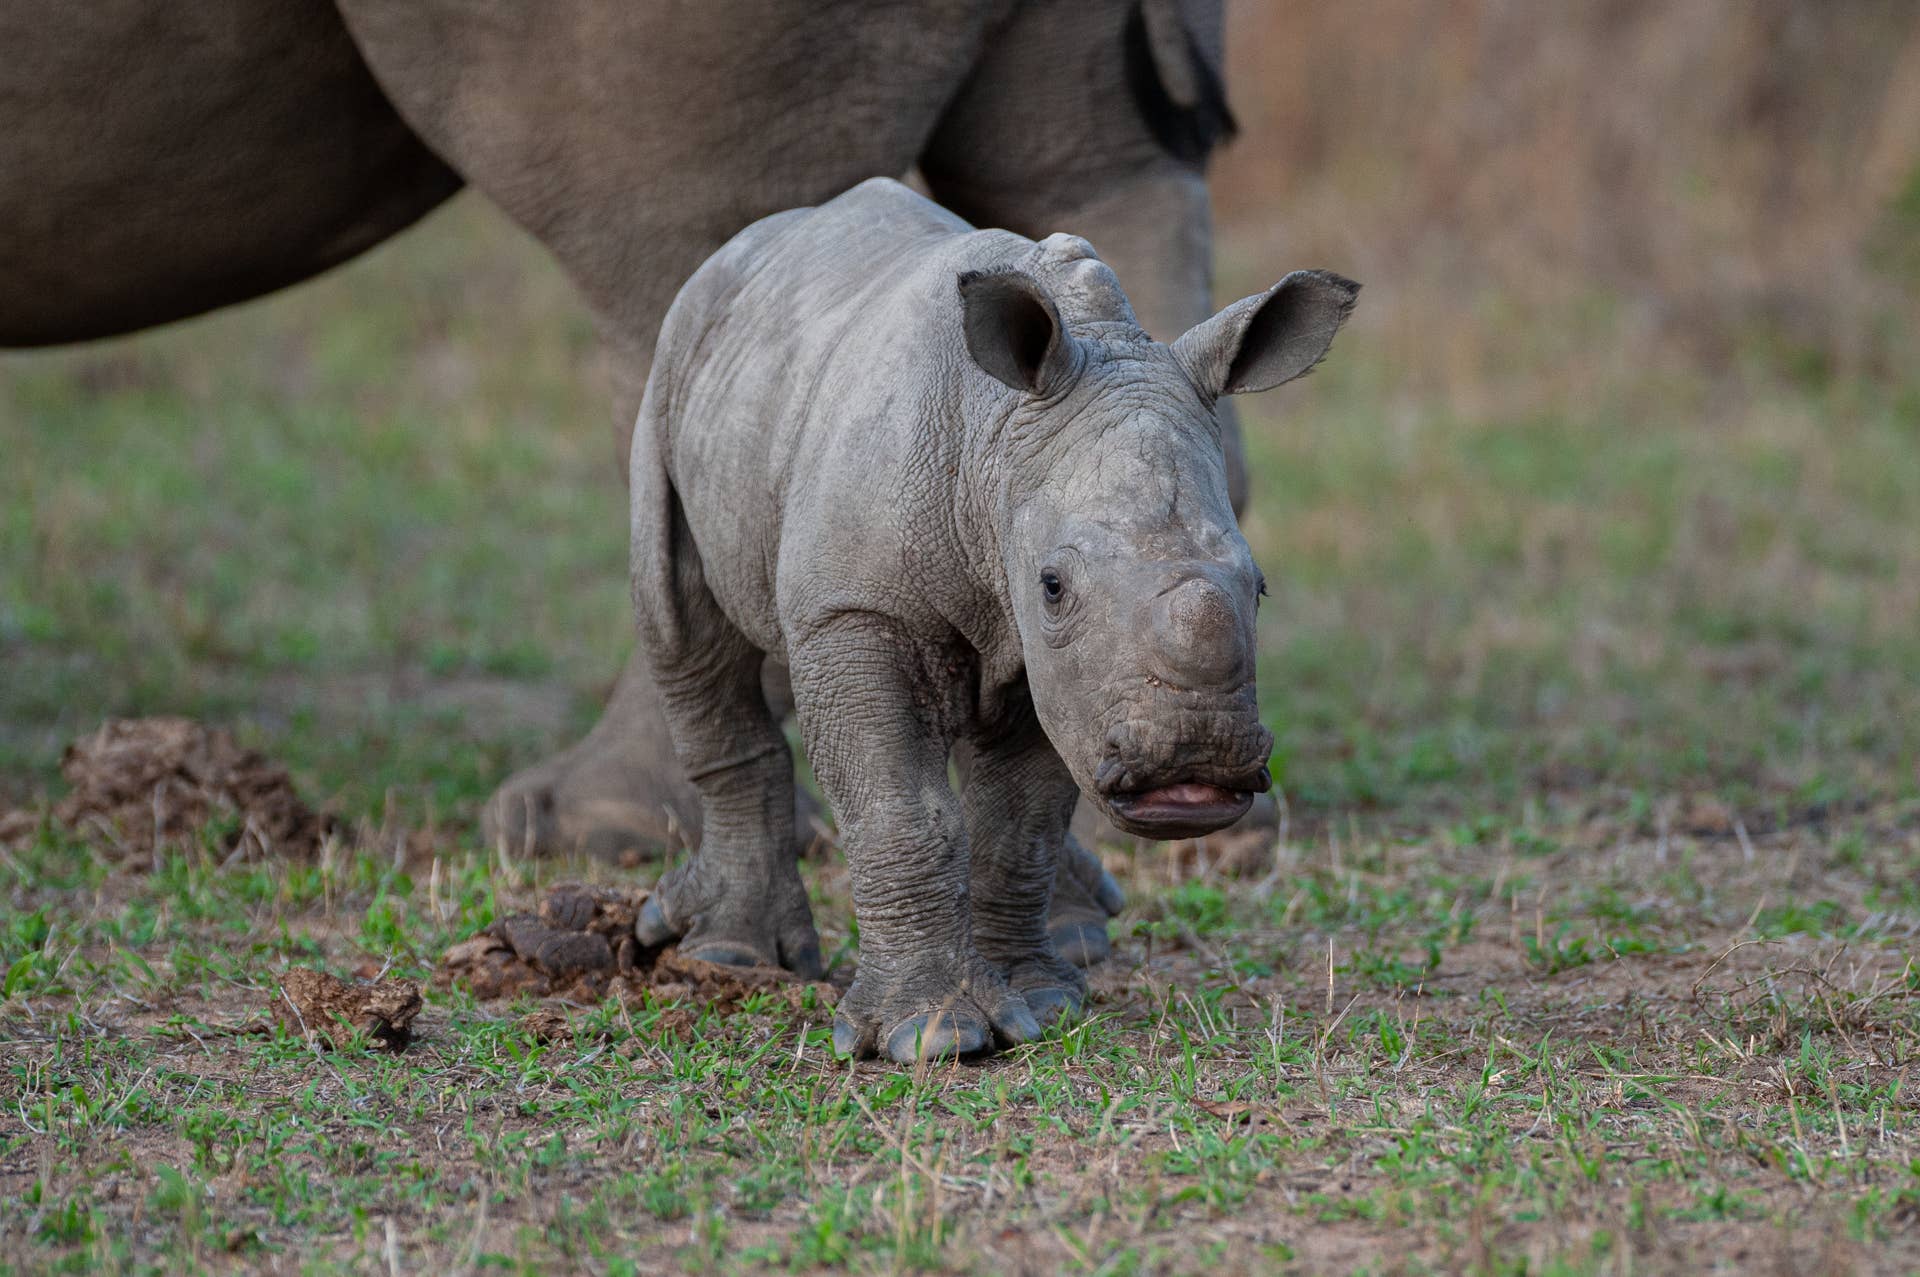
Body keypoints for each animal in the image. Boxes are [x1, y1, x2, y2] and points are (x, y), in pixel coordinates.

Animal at [626, 178, 1356, 1061]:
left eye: (1259, 587)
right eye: (1054, 585)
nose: (1195, 766)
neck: (997, 439)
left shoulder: (1057, 667)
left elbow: (1020, 822)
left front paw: (1042, 1002)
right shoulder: (854, 608)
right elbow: (899, 807)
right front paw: (932, 1037)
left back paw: (1074, 940)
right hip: (675, 372)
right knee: (682, 627)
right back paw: (728, 955)